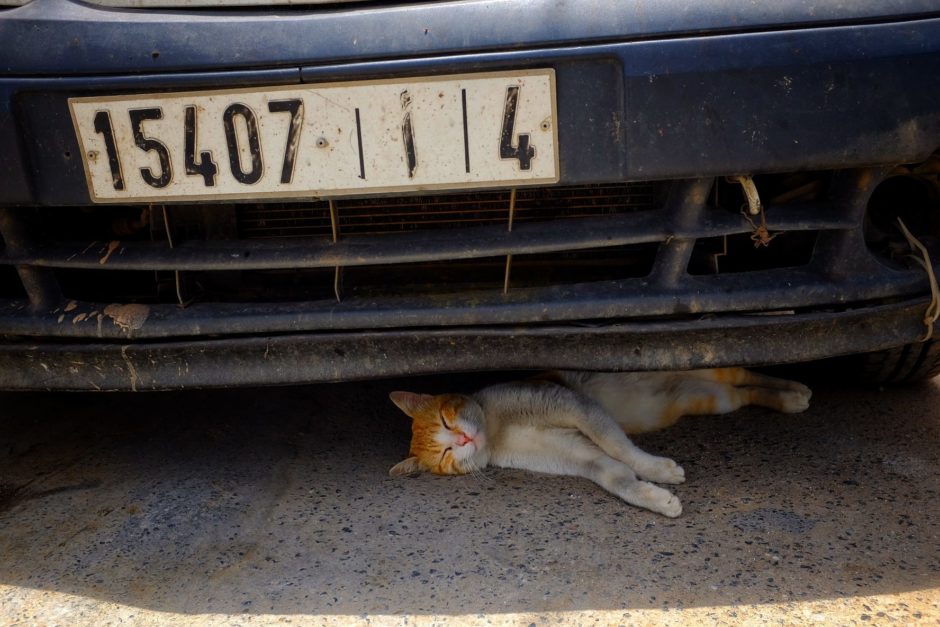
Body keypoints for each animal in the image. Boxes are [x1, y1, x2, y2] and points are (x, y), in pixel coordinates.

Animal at [390, 366, 808, 516]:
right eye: (446, 455)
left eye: (447, 419)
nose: (464, 438)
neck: (495, 431)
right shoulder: (580, 455)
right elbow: (614, 473)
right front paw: (656, 498)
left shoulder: (575, 405)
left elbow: (622, 447)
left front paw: (658, 469)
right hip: (711, 398)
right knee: (744, 392)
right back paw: (785, 398)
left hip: (713, 371)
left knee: (747, 372)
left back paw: (795, 390)